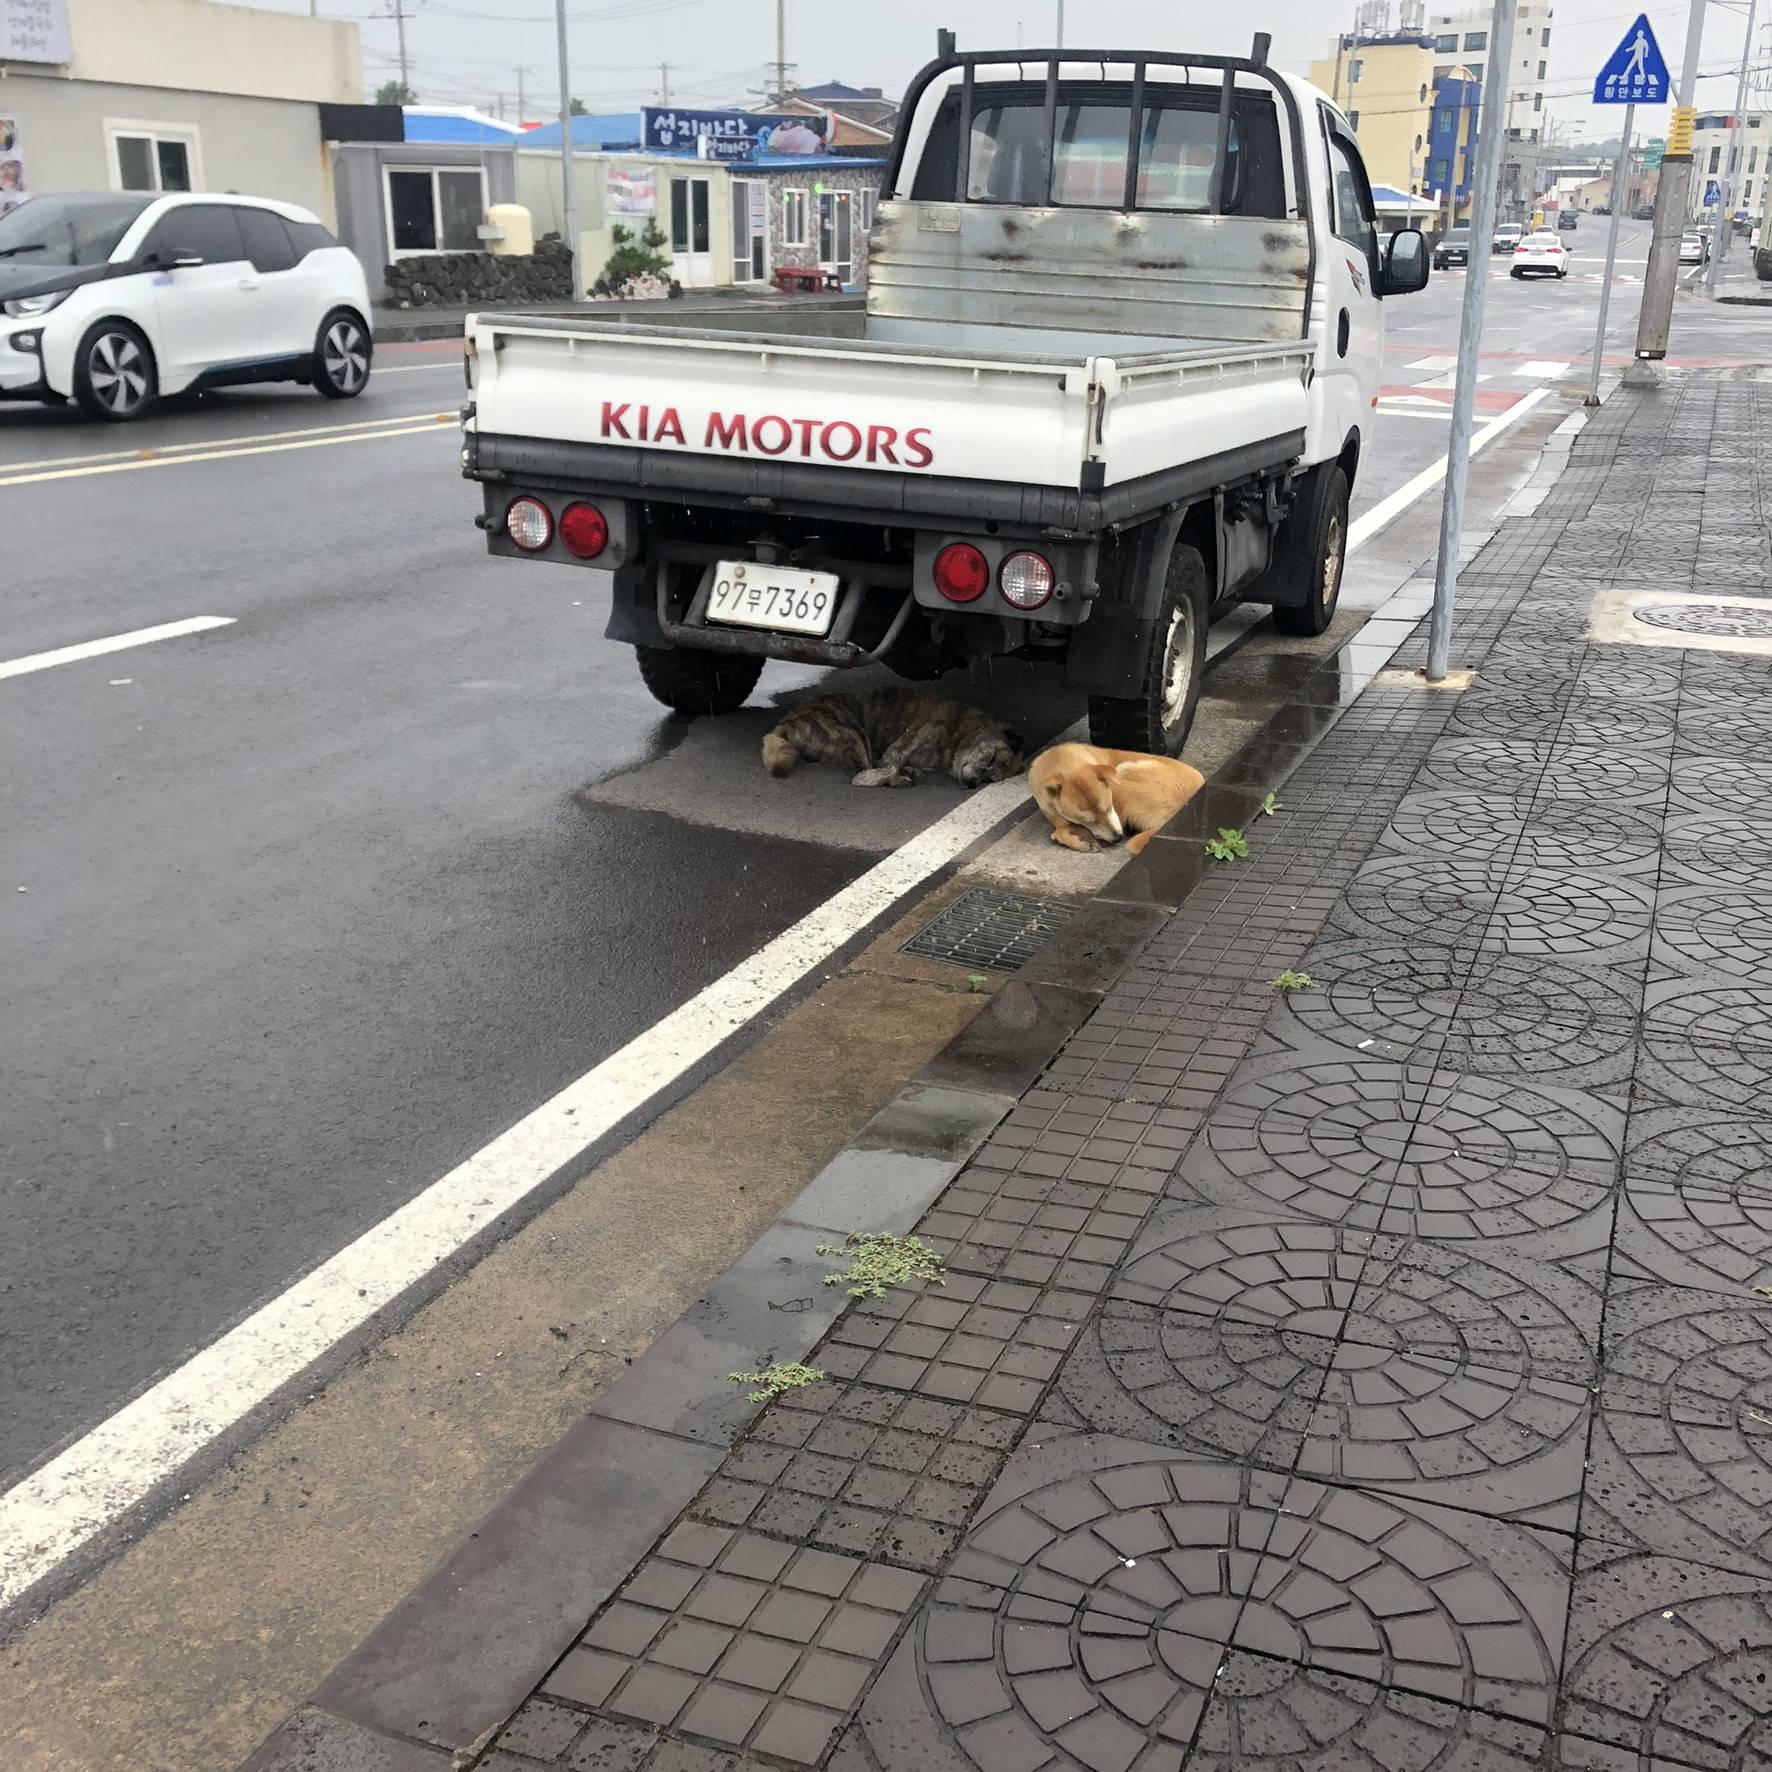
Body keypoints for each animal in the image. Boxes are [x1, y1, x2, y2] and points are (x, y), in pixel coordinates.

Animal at [761, 683, 1027, 790]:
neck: (958, 733)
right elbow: (888, 765)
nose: (972, 784)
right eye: (991, 759)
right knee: (860, 775)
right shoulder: (895, 751)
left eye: (990, 781)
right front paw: (900, 774)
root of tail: (784, 725)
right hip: (852, 732)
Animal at [1034, 740, 1212, 857]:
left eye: (1108, 807)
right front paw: (1081, 840)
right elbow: (1061, 828)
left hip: (1124, 773)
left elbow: (1058, 832)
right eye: (1088, 820)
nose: (1117, 838)